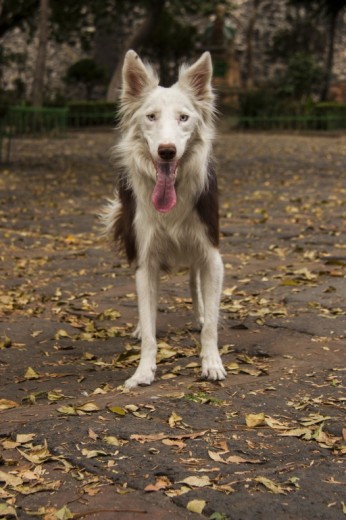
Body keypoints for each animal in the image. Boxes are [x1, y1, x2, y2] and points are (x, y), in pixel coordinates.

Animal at [102, 49, 227, 386]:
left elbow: (212, 323)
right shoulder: (145, 260)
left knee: (194, 279)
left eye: (184, 117)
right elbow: (149, 327)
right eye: (151, 116)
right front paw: (143, 370)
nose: (167, 151)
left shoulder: (211, 253)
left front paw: (212, 362)